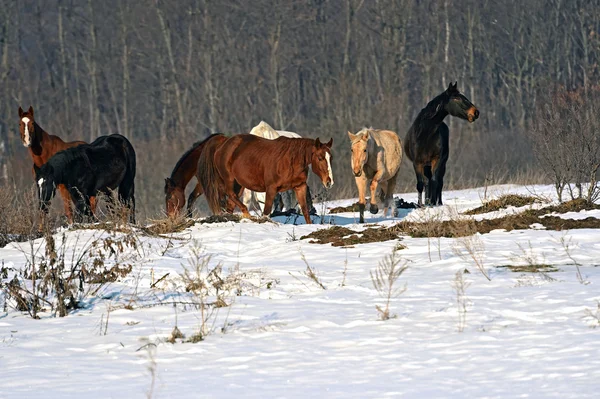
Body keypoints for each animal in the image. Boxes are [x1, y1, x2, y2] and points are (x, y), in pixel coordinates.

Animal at [198, 135, 332, 225]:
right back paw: (247, 214)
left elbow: (305, 210)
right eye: (320, 158)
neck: (291, 160)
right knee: (229, 195)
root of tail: (223, 142)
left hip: (239, 184)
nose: (329, 182)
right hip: (228, 179)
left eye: (330, 158)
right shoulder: (271, 188)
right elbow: (266, 211)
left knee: (230, 203)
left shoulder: (300, 186)